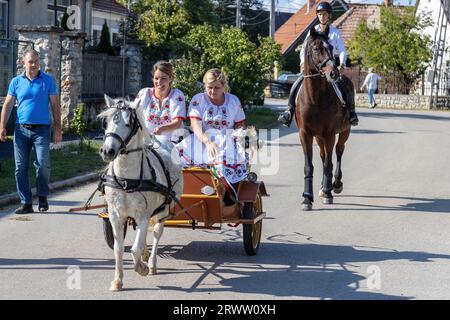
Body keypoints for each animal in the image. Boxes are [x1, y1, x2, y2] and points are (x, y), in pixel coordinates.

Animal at [98, 94, 183, 292]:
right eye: (106, 123)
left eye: (129, 124)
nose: (107, 151)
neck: (125, 179)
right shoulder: (115, 215)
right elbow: (119, 248)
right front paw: (117, 280)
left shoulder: (144, 214)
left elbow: (134, 249)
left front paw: (142, 268)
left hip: (163, 210)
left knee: (157, 233)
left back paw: (151, 264)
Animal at [296, 26, 356, 210]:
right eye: (316, 49)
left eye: (330, 48)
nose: (334, 73)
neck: (315, 98)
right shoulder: (305, 134)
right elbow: (309, 166)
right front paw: (307, 198)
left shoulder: (329, 133)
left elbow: (329, 163)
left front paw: (329, 194)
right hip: (319, 137)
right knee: (323, 156)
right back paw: (323, 187)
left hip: (344, 131)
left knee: (338, 151)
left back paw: (335, 185)